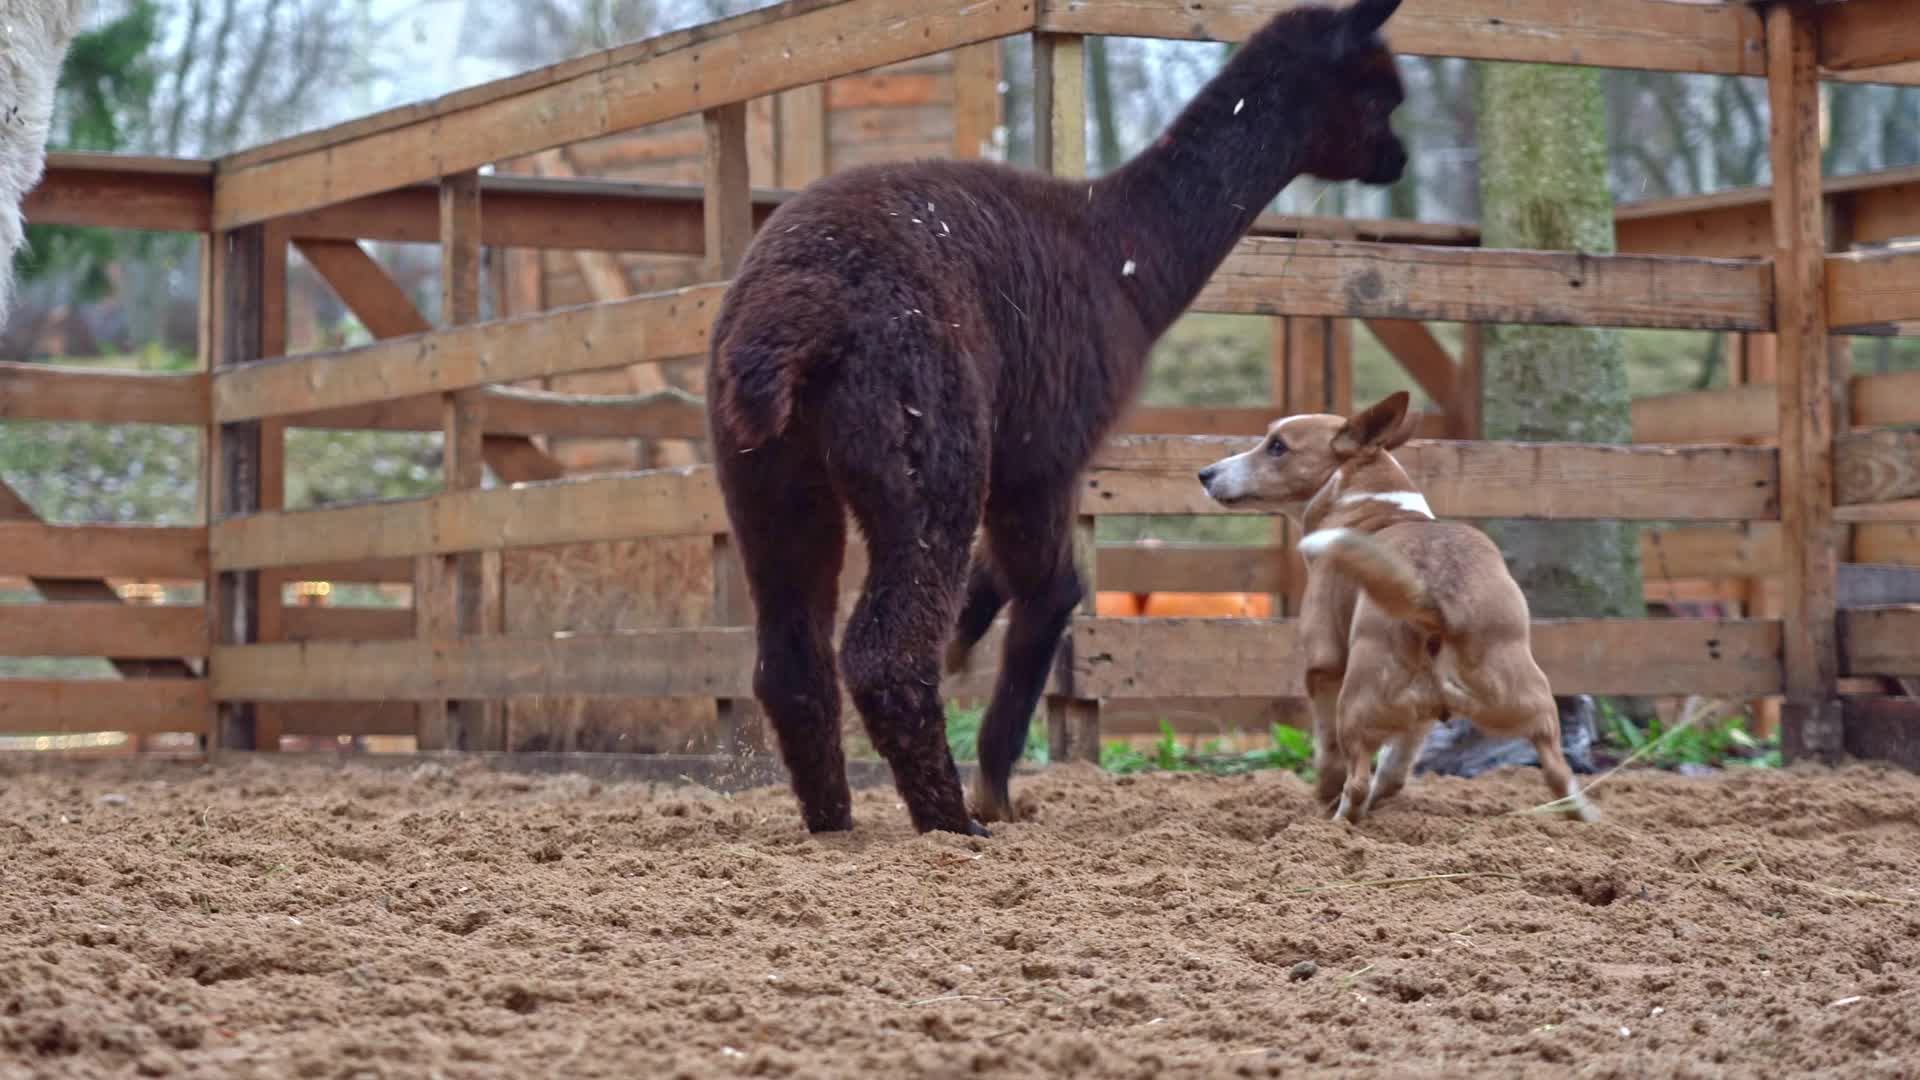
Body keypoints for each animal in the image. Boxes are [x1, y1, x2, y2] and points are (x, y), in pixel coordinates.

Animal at [1198, 390, 1589, 818]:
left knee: (1355, 778)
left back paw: (1339, 821)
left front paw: (1325, 795)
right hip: (1524, 698)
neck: (1370, 502)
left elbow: (1329, 751)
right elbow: (1395, 764)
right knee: (1558, 771)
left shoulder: (1323, 666)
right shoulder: (1419, 721)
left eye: (1278, 446)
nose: (1205, 474)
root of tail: (1432, 605)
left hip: (1357, 701)